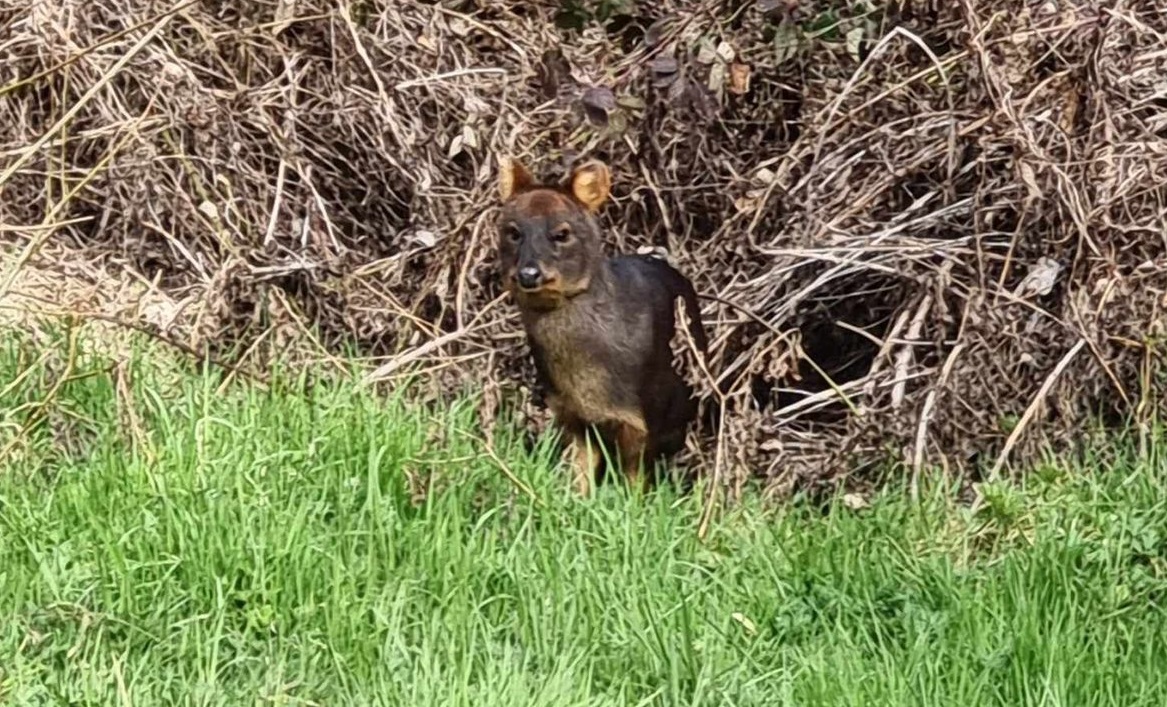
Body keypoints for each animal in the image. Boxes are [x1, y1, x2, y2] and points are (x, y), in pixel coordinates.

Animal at [494, 157, 704, 496]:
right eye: (513, 231)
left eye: (562, 233)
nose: (528, 274)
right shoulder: (571, 415)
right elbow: (580, 473)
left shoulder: (644, 418)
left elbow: (634, 483)